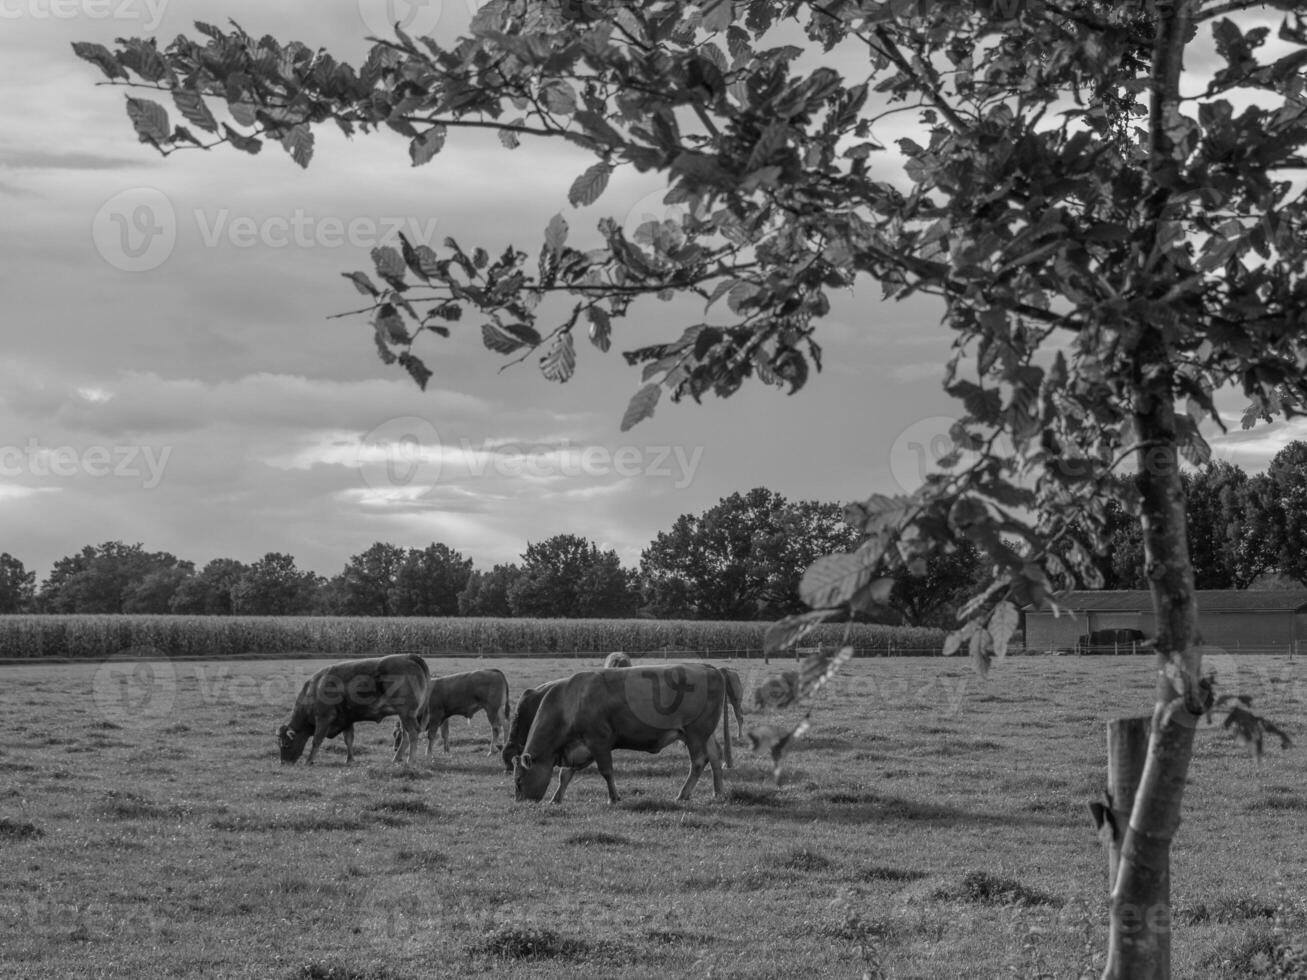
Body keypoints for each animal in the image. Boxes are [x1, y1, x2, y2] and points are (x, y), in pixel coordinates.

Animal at [277, 655, 428, 773]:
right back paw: (396, 759)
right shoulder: (346, 720)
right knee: (406, 736)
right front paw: (349, 759)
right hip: (403, 716)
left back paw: (410, 761)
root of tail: (408, 657)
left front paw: (309, 761)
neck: (315, 688)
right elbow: (348, 740)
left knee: (413, 734)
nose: (283, 763)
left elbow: (317, 740)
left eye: (285, 744)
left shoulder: (323, 719)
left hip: (406, 714)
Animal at [509, 663, 737, 810]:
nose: (520, 803)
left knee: (699, 761)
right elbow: (565, 775)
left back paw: (683, 794)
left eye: (519, 780)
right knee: (715, 757)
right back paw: (718, 792)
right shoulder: (578, 747)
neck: (570, 702)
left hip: (695, 732)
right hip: (704, 733)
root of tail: (709, 668)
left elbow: (606, 771)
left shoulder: (599, 741)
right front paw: (556, 798)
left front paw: (613, 798)